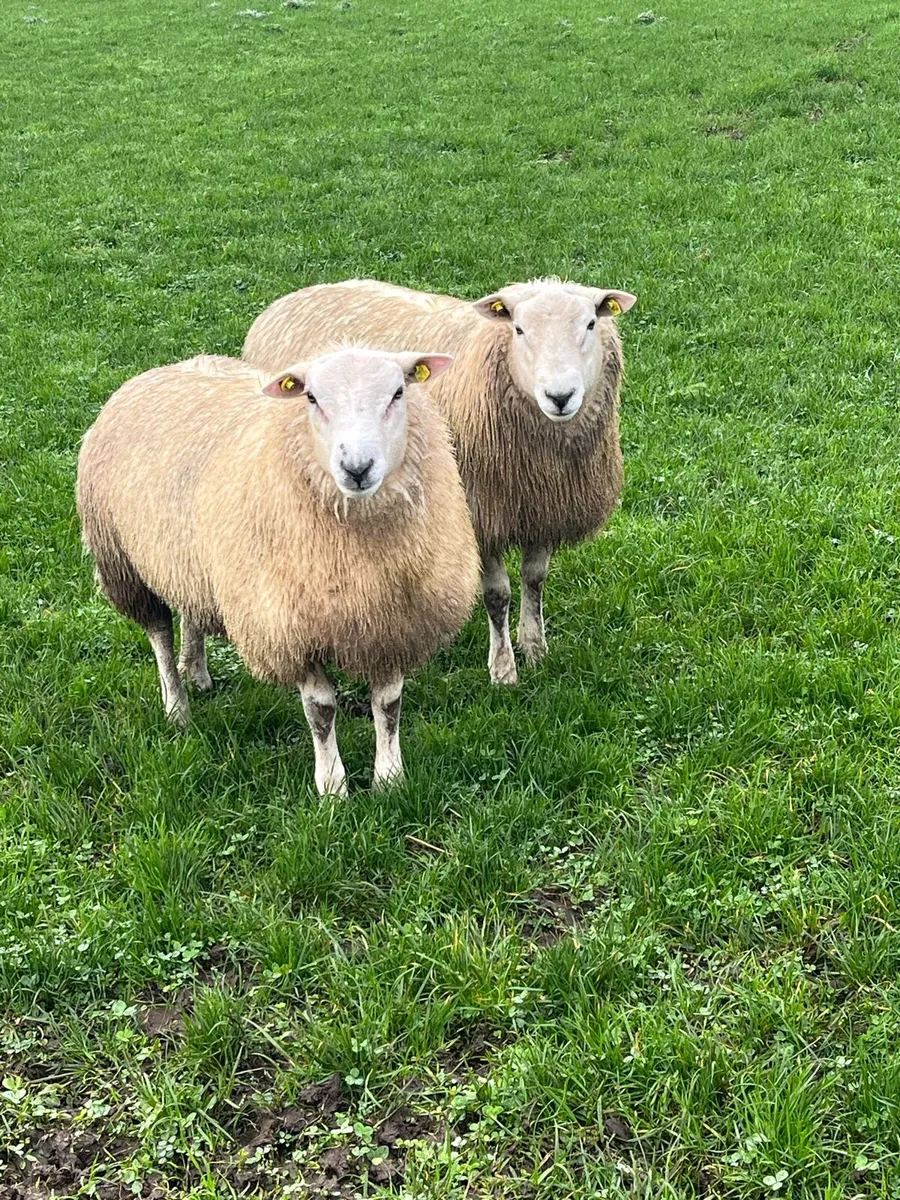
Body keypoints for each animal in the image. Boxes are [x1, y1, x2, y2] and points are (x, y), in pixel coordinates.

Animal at [76, 348, 480, 795]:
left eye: (397, 393)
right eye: (311, 399)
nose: (357, 468)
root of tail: (168, 367)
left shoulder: (395, 622)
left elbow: (388, 704)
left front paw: (390, 779)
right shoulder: (289, 628)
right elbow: (320, 710)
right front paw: (332, 786)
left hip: (187, 559)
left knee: (190, 612)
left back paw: (196, 672)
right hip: (123, 562)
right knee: (160, 634)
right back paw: (177, 706)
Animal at [242, 278, 637, 685]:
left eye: (590, 324)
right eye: (518, 329)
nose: (560, 397)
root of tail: (291, 298)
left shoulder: (545, 508)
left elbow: (534, 579)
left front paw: (534, 648)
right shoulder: (480, 514)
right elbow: (498, 595)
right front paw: (503, 668)